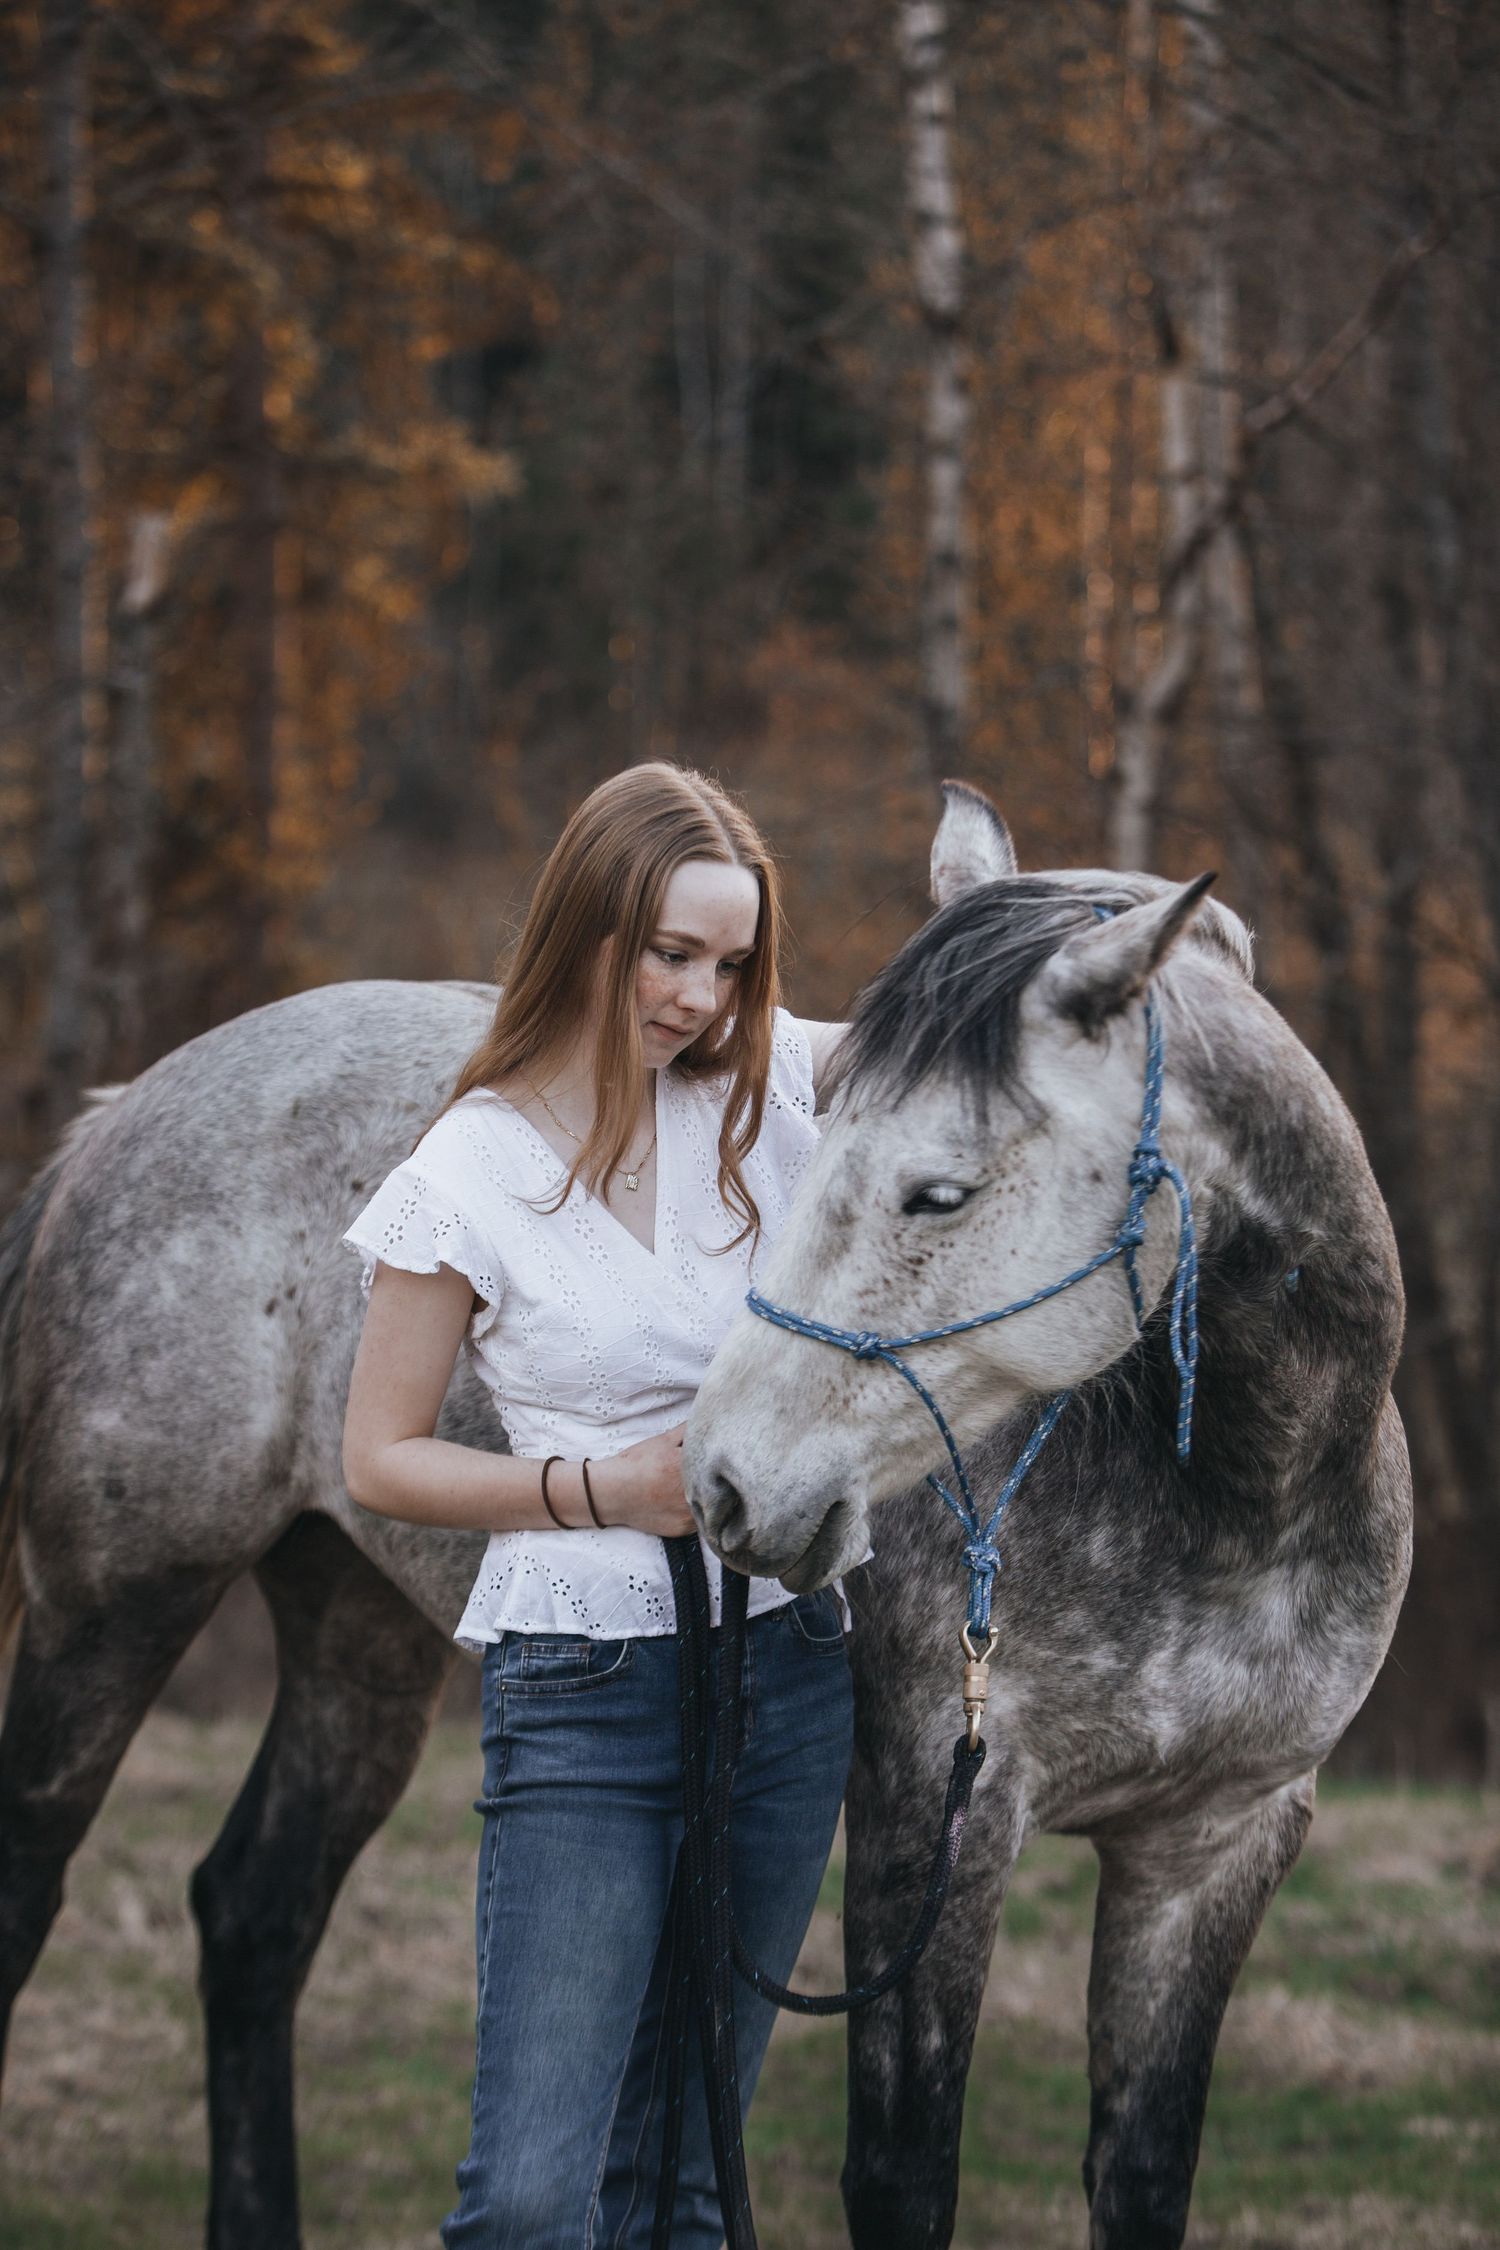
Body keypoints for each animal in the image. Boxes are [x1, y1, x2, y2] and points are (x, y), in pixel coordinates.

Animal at [685, 781, 1413, 2250]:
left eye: (940, 1191)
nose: (729, 1481)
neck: (1230, 1514)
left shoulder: (1218, 1843)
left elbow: (1143, 2165)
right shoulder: (933, 1807)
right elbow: (904, 2174)